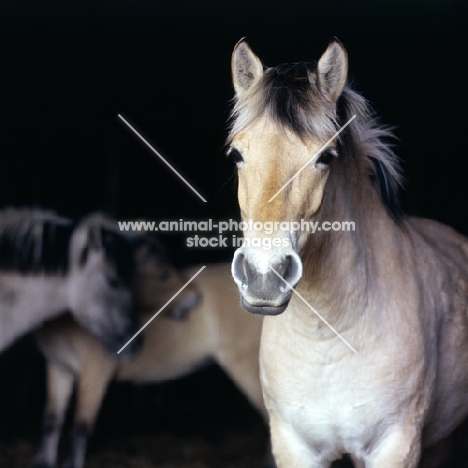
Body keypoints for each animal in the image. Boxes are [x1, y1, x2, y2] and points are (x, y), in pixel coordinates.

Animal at [32, 264, 266, 468]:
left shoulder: (95, 374)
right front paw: (44, 463)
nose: (195, 298)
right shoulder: (58, 369)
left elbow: (80, 427)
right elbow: (51, 421)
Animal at [228, 40, 468, 468]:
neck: (328, 339)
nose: (264, 276)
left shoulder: (397, 444)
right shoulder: (294, 445)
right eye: (237, 154)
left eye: (325, 157)